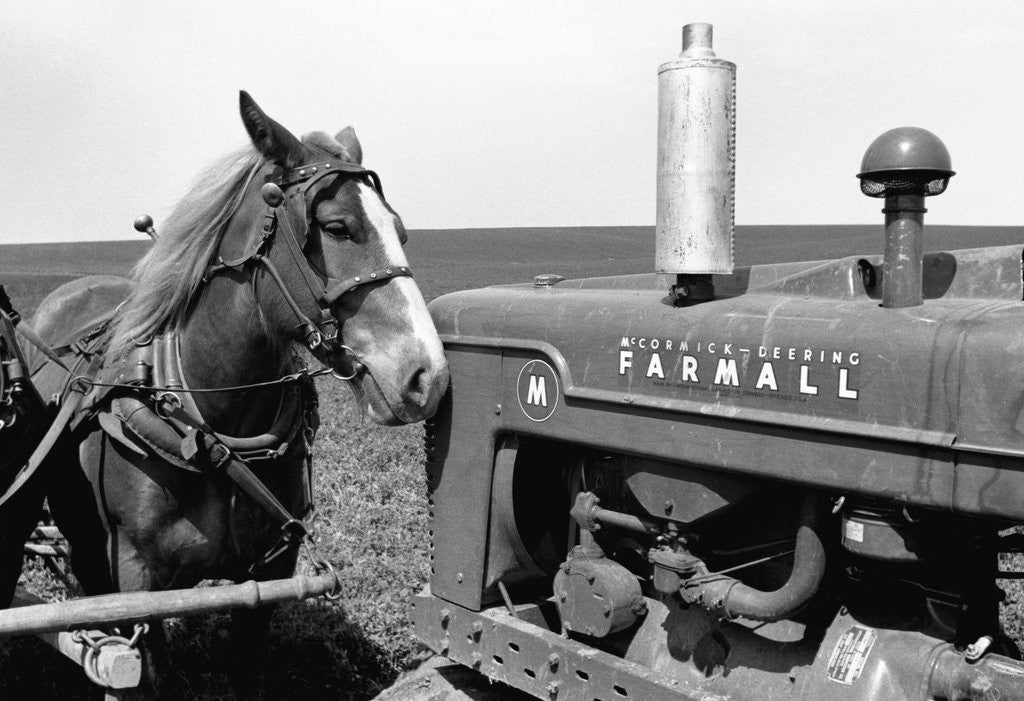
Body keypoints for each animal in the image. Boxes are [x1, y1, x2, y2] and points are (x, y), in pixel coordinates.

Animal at [12, 91, 449, 696]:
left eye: (401, 231)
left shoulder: (268, 576)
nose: (426, 375)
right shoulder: (138, 582)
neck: (211, 430)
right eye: (337, 227)